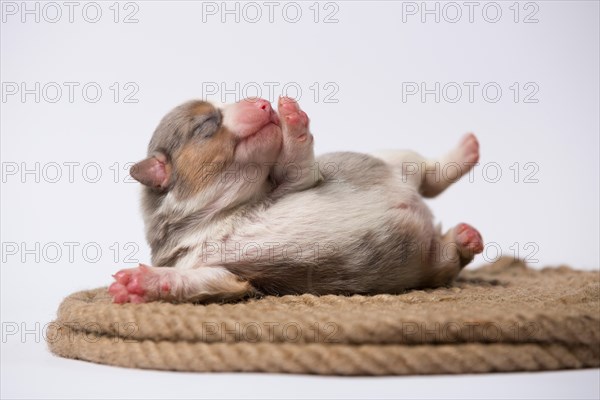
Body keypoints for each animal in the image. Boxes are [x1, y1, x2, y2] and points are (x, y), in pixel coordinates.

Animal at [108, 97, 482, 304]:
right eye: (208, 123)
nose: (263, 102)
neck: (224, 213)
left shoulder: (298, 181)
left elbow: (296, 164)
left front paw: (291, 118)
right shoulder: (209, 270)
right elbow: (204, 282)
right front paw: (140, 285)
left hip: (396, 158)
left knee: (431, 174)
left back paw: (465, 151)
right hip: (430, 261)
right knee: (451, 254)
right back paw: (466, 237)